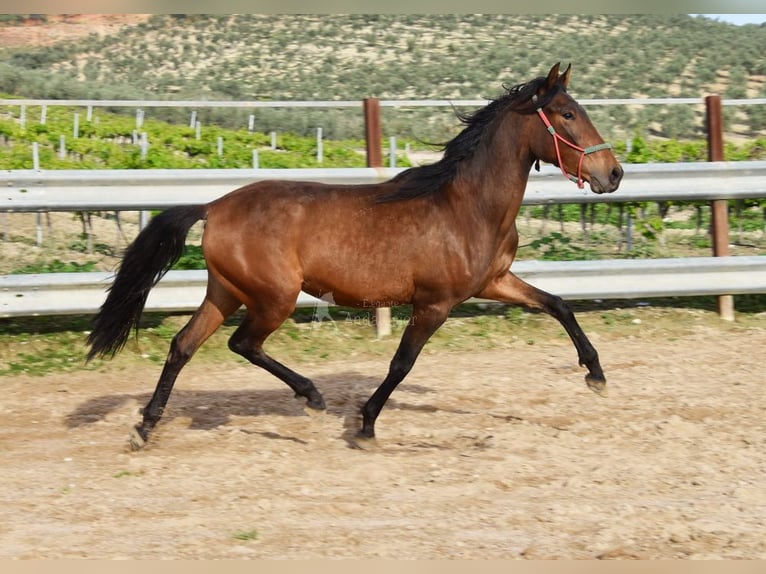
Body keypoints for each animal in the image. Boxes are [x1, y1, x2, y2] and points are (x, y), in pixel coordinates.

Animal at [87, 64, 624, 450]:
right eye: (567, 115)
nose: (614, 173)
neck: (466, 206)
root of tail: (214, 206)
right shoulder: (434, 303)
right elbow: (401, 364)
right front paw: (365, 426)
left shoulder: (495, 282)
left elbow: (558, 305)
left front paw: (596, 375)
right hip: (273, 297)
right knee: (243, 344)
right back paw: (311, 396)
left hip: (225, 291)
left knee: (182, 345)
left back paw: (144, 428)